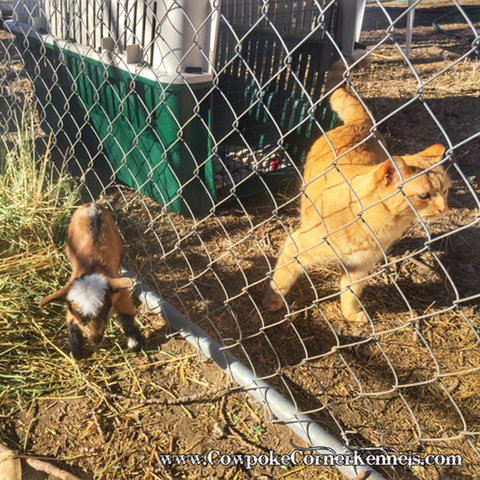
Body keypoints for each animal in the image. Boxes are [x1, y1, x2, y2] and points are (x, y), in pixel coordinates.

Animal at [39, 202, 144, 356]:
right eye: (82, 322)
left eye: (104, 315)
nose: (95, 340)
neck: (92, 269)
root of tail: (92, 205)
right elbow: (71, 323)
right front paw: (75, 351)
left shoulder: (119, 291)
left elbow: (126, 316)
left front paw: (134, 344)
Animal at [262, 51, 450, 322]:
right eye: (425, 195)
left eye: (445, 191)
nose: (445, 209)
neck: (376, 226)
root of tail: (361, 125)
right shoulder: (296, 245)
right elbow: (281, 280)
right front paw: (272, 302)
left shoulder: (359, 268)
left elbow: (350, 294)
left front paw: (351, 316)